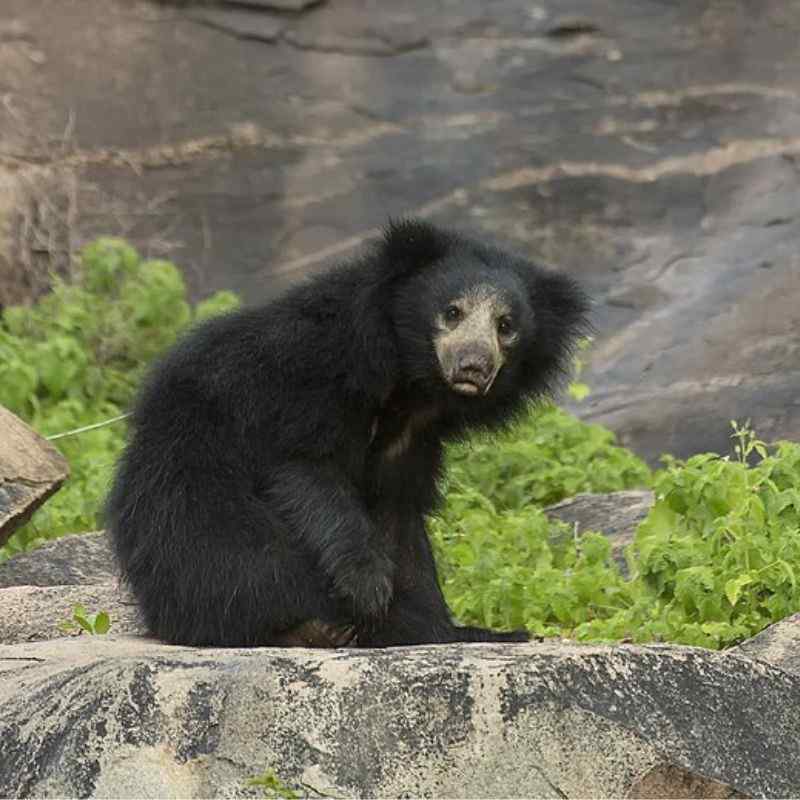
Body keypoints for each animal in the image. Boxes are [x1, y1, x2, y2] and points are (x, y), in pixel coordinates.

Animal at [106, 219, 589, 648]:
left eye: (505, 325)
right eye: (452, 312)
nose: (473, 366)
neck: (407, 382)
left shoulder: (413, 439)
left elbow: (401, 522)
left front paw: (449, 628)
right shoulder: (304, 380)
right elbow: (307, 471)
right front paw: (368, 587)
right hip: (183, 483)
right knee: (229, 550)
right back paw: (303, 627)